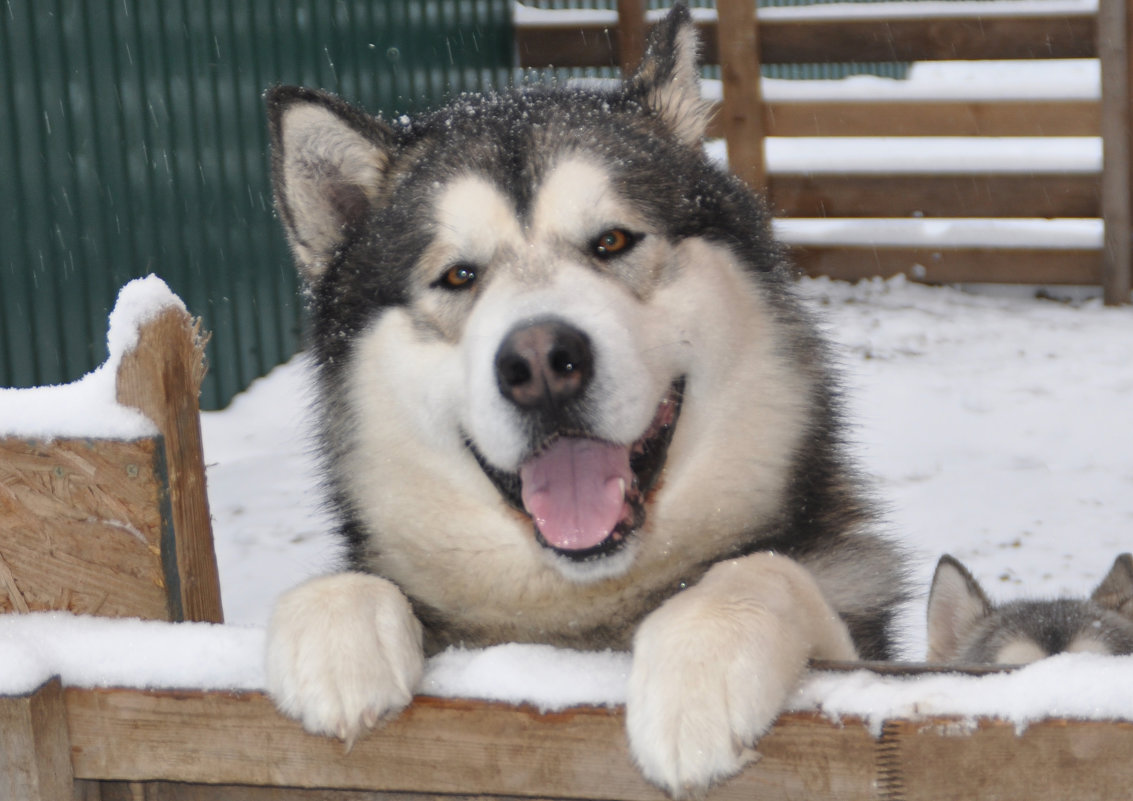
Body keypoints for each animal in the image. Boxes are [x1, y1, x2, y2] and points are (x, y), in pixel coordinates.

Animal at [260, 6, 906, 797]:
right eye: (458, 275)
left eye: (613, 240)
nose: (541, 362)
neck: (576, 615)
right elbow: (341, 583)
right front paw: (337, 630)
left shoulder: (865, 650)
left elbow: (762, 571)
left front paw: (703, 657)